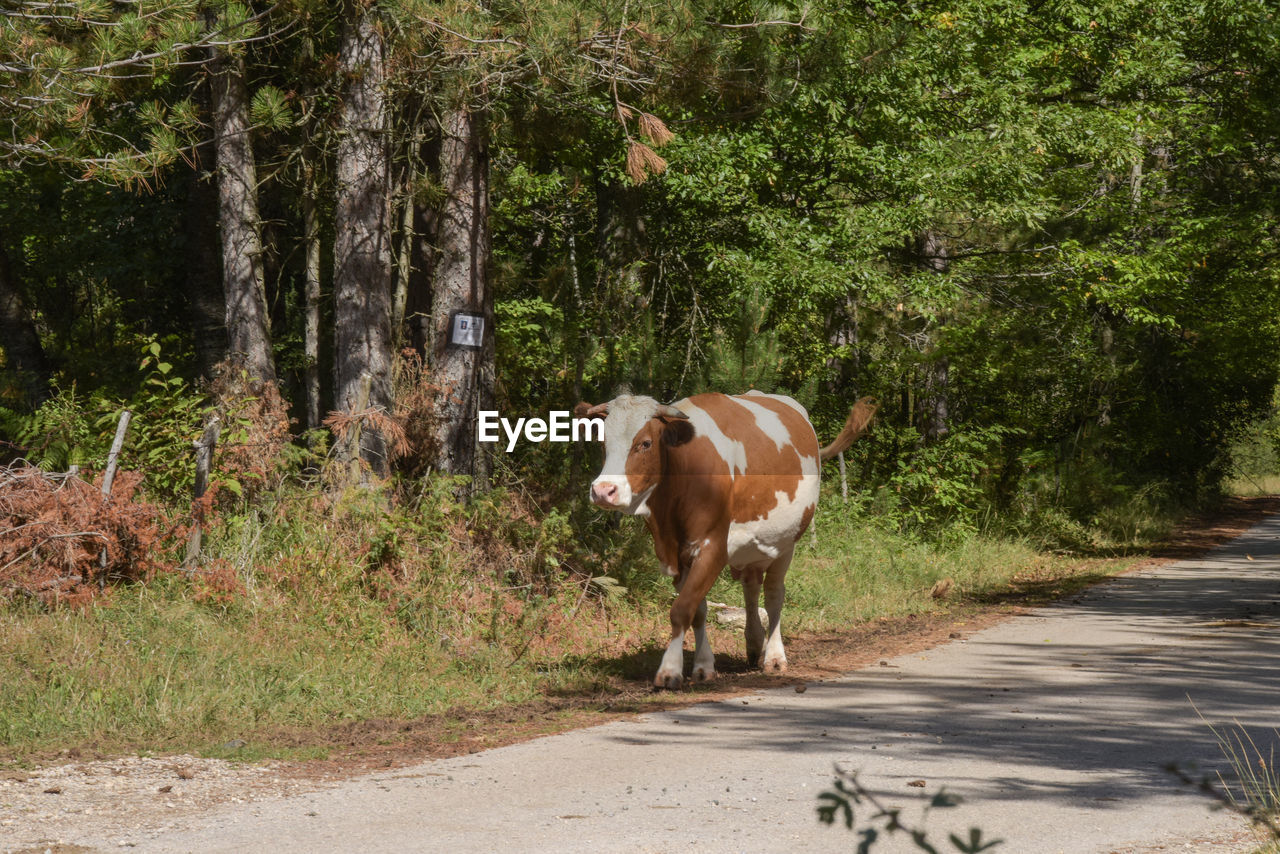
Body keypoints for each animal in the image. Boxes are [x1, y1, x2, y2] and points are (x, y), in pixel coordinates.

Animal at [576, 391, 875, 691]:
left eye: (645, 443)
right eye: (602, 442)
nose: (603, 491)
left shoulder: (713, 547)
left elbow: (681, 609)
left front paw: (670, 670)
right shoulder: (678, 554)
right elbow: (698, 610)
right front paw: (704, 666)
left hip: (786, 544)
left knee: (774, 596)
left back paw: (774, 657)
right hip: (754, 547)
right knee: (751, 589)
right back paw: (754, 644)